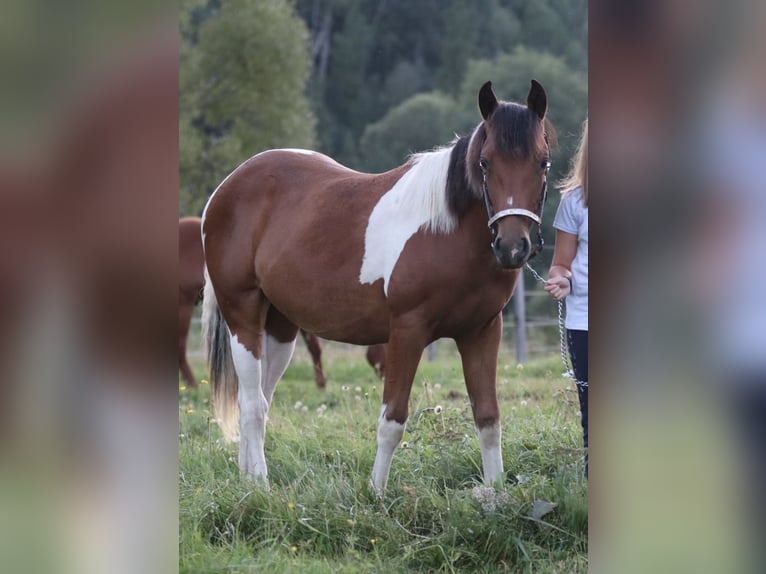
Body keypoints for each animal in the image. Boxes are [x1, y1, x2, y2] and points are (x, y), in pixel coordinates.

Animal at [202, 80, 552, 494]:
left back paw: (248, 480)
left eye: (543, 162)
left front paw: (496, 492)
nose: (512, 247)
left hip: (280, 327)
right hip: (242, 316)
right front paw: (376, 494)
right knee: (254, 405)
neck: (445, 232)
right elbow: (392, 421)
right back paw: (260, 484)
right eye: (485, 163)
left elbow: (488, 418)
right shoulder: (407, 332)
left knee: (255, 398)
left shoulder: (482, 332)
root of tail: (227, 186)